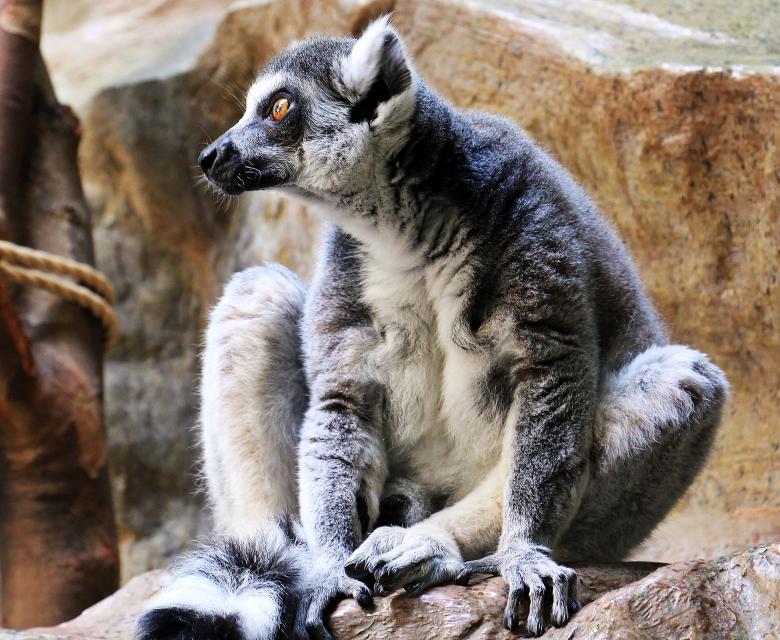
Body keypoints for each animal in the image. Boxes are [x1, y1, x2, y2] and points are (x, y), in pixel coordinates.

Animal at [137, 16, 728, 640]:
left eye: (278, 108)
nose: (210, 156)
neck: (406, 235)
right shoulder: (349, 265)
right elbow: (342, 403)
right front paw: (325, 568)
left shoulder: (532, 223)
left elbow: (552, 381)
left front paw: (522, 550)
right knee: (258, 295)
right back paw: (277, 555)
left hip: (602, 530)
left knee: (684, 381)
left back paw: (438, 547)